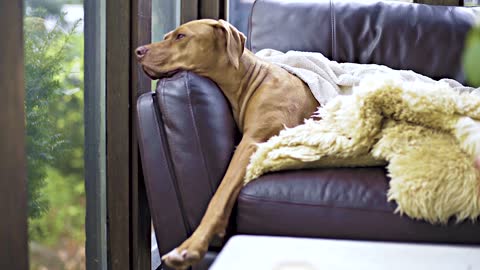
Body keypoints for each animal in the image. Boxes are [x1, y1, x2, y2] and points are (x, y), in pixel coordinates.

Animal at [136, 19, 318, 268]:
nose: (138, 51)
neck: (250, 79)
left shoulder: (252, 143)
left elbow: (220, 195)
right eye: (166, 37)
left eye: (181, 36)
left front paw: (191, 246)